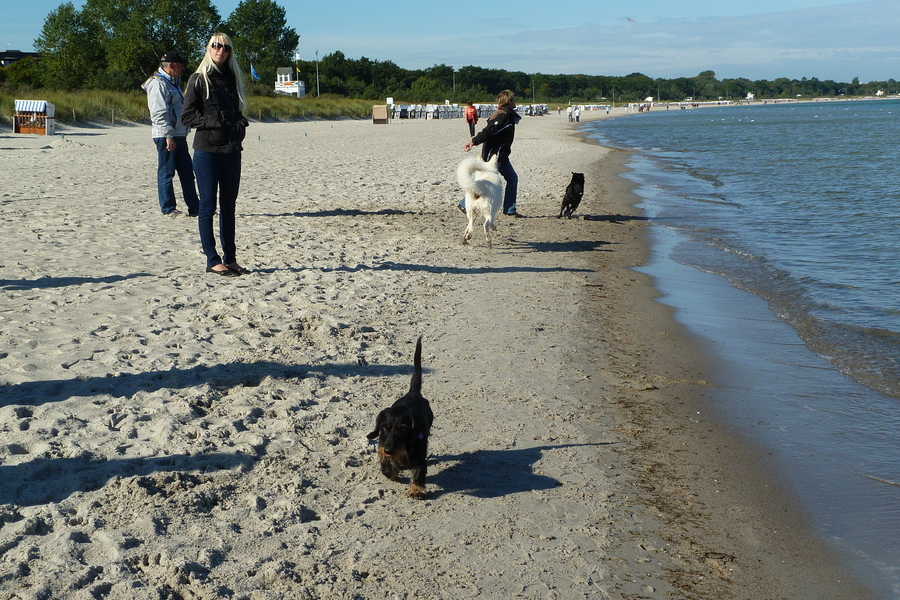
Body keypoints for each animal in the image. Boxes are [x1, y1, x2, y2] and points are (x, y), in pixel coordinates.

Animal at [368, 338, 434, 496]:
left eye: (403, 429)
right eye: (385, 428)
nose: (389, 450)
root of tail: (413, 393)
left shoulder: (419, 458)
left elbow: (419, 472)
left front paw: (417, 490)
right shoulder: (382, 447)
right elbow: (386, 468)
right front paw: (392, 472)